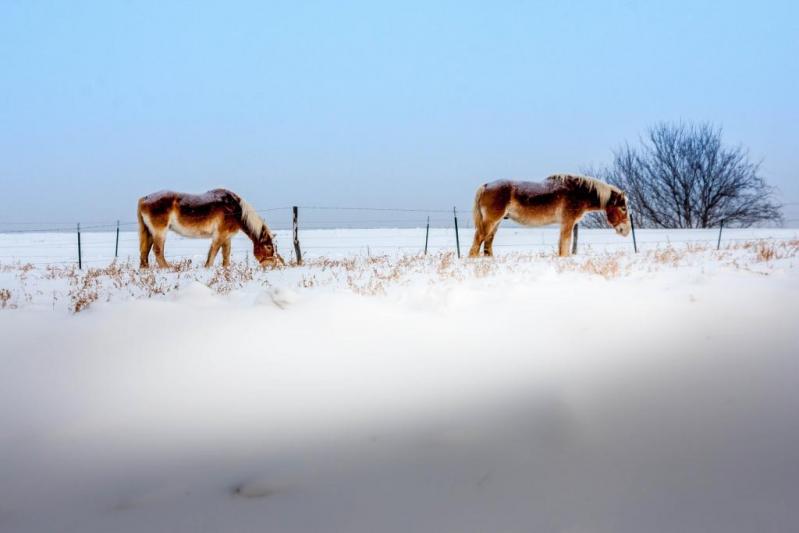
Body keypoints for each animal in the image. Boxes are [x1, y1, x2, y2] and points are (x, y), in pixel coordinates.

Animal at [138, 189, 284, 268]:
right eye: (268, 247)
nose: (273, 264)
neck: (236, 210)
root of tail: (144, 199)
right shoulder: (219, 235)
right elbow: (213, 253)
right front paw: (207, 268)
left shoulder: (227, 237)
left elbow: (226, 255)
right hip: (160, 232)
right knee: (158, 251)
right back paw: (168, 269)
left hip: (150, 232)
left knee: (145, 252)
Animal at [468, 175, 632, 258]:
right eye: (623, 208)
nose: (626, 231)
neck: (579, 192)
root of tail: (487, 185)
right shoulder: (568, 223)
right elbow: (565, 246)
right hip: (491, 221)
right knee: (478, 241)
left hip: (496, 223)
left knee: (487, 243)